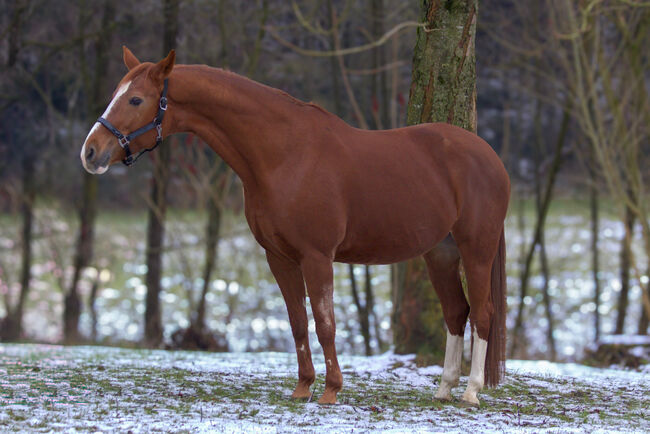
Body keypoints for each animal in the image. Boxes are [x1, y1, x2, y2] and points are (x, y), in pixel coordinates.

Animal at [79, 48, 506, 406]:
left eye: (136, 100)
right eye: (117, 94)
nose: (90, 152)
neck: (285, 155)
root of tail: (489, 155)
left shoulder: (317, 257)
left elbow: (325, 324)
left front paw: (331, 390)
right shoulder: (279, 257)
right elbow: (298, 323)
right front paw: (303, 388)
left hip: (476, 249)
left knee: (483, 313)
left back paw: (470, 392)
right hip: (441, 254)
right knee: (457, 312)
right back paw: (444, 388)